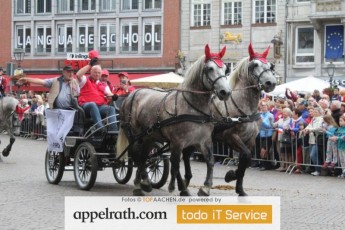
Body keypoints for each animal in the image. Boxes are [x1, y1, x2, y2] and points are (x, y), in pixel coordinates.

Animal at [116, 45, 231, 196]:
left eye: (225, 69)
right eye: (210, 68)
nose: (226, 92)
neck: (193, 108)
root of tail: (130, 95)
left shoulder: (203, 141)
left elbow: (210, 161)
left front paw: (205, 188)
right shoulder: (177, 142)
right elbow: (175, 165)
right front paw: (174, 187)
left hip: (149, 136)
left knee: (143, 156)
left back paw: (145, 182)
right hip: (133, 135)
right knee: (137, 156)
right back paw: (138, 185)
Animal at [181, 43, 276, 196]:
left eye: (270, 65)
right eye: (255, 65)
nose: (271, 83)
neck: (244, 109)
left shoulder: (250, 140)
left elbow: (246, 160)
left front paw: (240, 188)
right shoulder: (230, 137)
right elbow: (246, 156)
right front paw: (231, 175)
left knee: (185, 154)